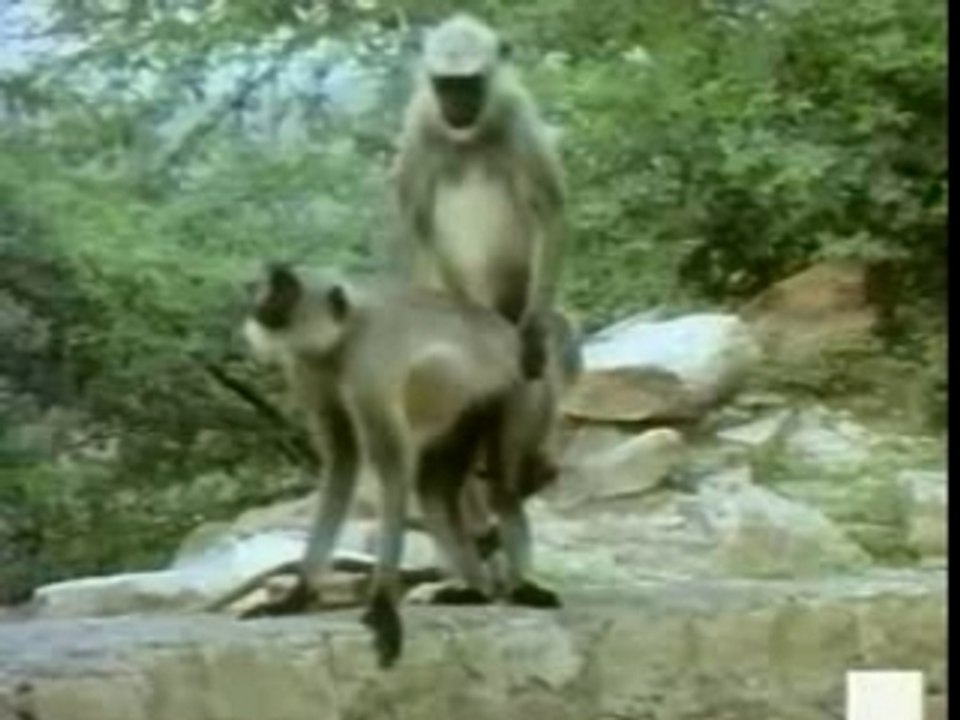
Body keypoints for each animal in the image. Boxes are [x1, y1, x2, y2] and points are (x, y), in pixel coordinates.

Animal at [239, 263, 559, 669]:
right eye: (270, 288)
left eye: (285, 291)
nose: (259, 300)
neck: (341, 338)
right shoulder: (308, 368)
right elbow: (343, 462)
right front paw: (297, 596)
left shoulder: (368, 359)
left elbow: (392, 465)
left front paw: (383, 606)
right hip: (468, 413)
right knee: (434, 491)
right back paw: (475, 592)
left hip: (525, 389)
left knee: (501, 487)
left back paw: (519, 588)